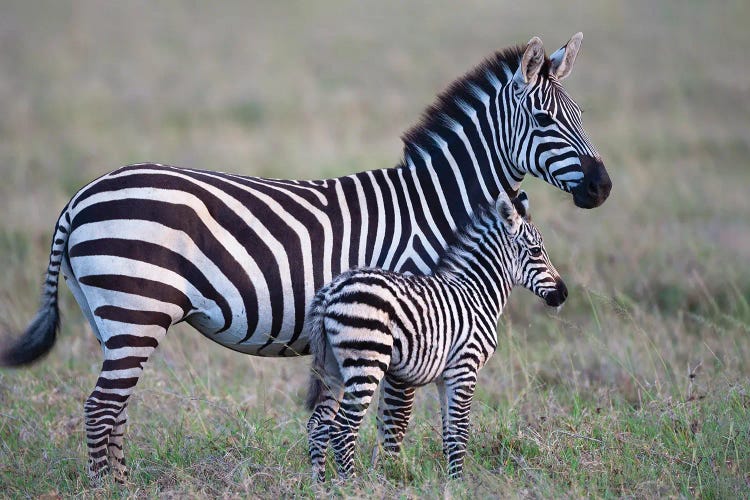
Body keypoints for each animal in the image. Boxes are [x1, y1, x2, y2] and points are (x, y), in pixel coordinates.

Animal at [308, 191, 568, 480]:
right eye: (536, 251)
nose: (563, 294)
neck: (477, 293)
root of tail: (331, 291)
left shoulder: (446, 376)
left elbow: (450, 433)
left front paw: (451, 480)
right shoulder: (465, 368)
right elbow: (461, 432)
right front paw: (459, 481)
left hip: (332, 365)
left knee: (319, 424)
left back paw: (321, 483)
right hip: (366, 362)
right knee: (343, 428)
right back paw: (351, 483)